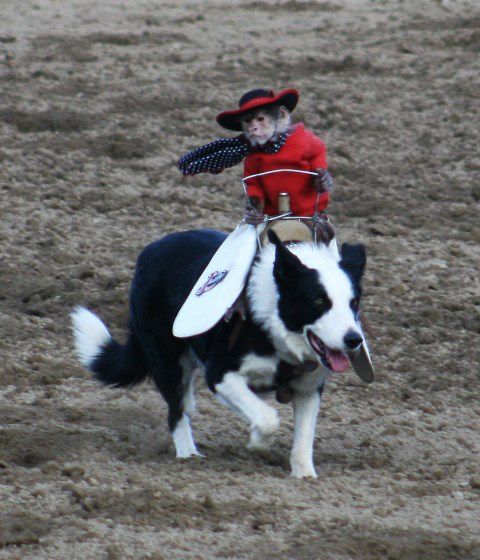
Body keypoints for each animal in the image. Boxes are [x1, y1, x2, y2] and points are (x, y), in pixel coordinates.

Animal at [71, 228, 366, 476]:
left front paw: (304, 475)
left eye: (354, 302)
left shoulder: (308, 388)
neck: (274, 325)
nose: (354, 340)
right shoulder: (220, 374)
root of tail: (151, 250)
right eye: (319, 300)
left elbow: (304, 437)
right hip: (166, 360)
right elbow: (268, 417)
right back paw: (188, 455)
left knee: (186, 403)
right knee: (175, 411)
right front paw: (257, 442)